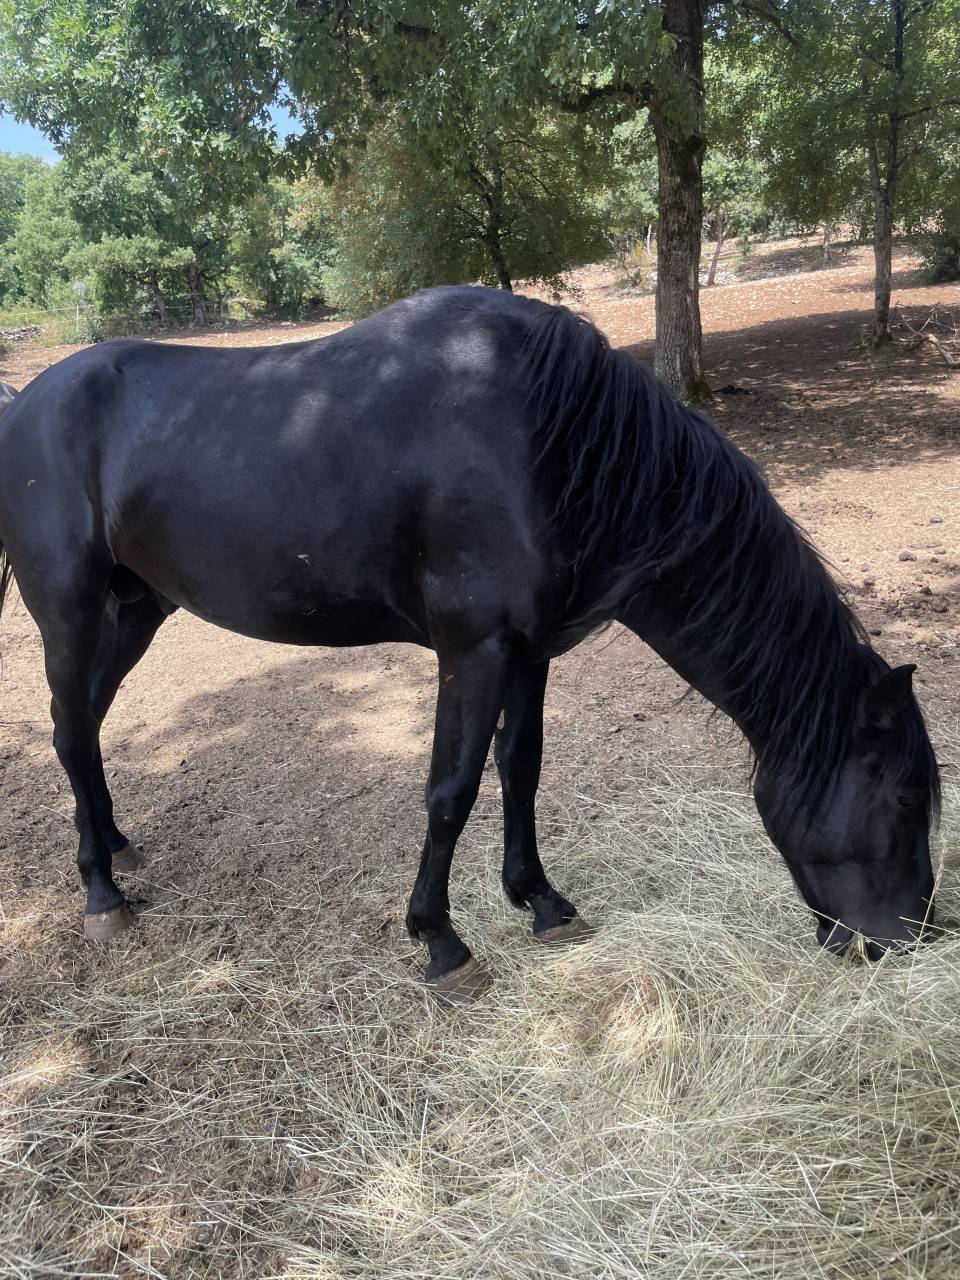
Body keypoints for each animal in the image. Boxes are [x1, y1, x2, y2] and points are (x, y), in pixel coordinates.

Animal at [0, 286, 940, 998]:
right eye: (904, 797)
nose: (916, 936)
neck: (548, 445)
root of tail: (27, 402)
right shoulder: (474, 651)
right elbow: (450, 791)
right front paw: (441, 942)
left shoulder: (529, 653)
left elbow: (519, 769)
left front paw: (542, 901)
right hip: (72, 615)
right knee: (70, 734)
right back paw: (101, 891)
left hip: (135, 612)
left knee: (85, 732)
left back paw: (116, 843)